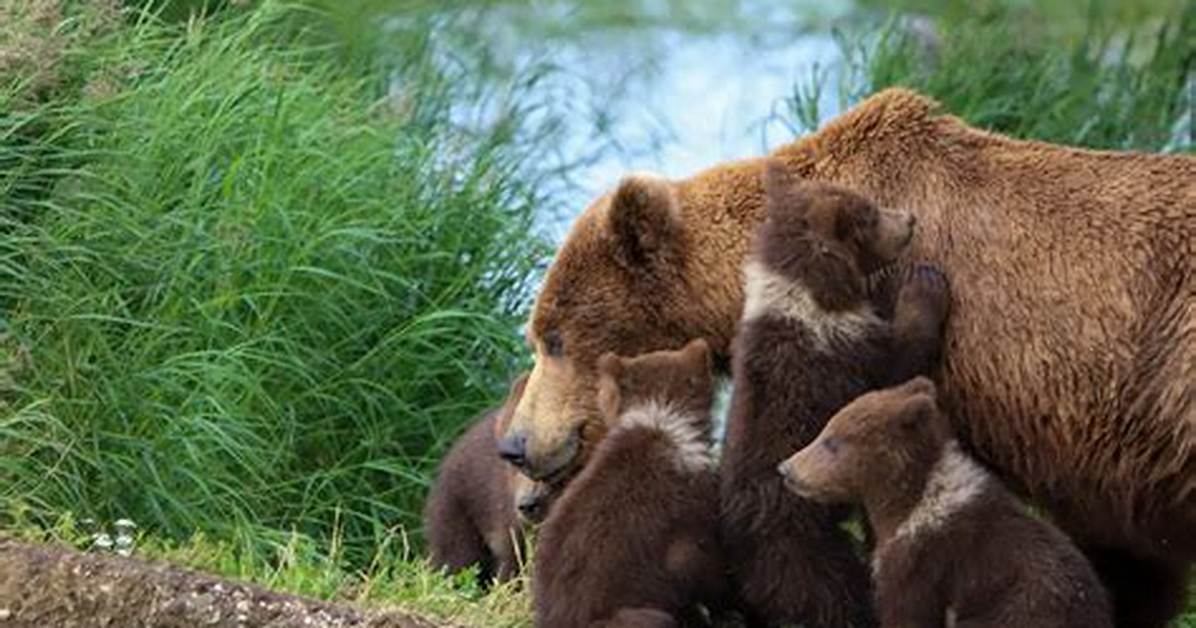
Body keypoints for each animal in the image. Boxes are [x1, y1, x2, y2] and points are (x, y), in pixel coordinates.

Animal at [719, 164, 951, 627]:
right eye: (870, 215)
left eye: (870, 203)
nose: (909, 219)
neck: (814, 298)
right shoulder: (839, 363)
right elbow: (894, 371)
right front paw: (925, 284)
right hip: (805, 552)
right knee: (836, 600)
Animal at [778, 376, 1115, 628]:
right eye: (827, 429)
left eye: (832, 442)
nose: (787, 468)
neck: (907, 505)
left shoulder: (925, 560)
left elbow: (907, 611)